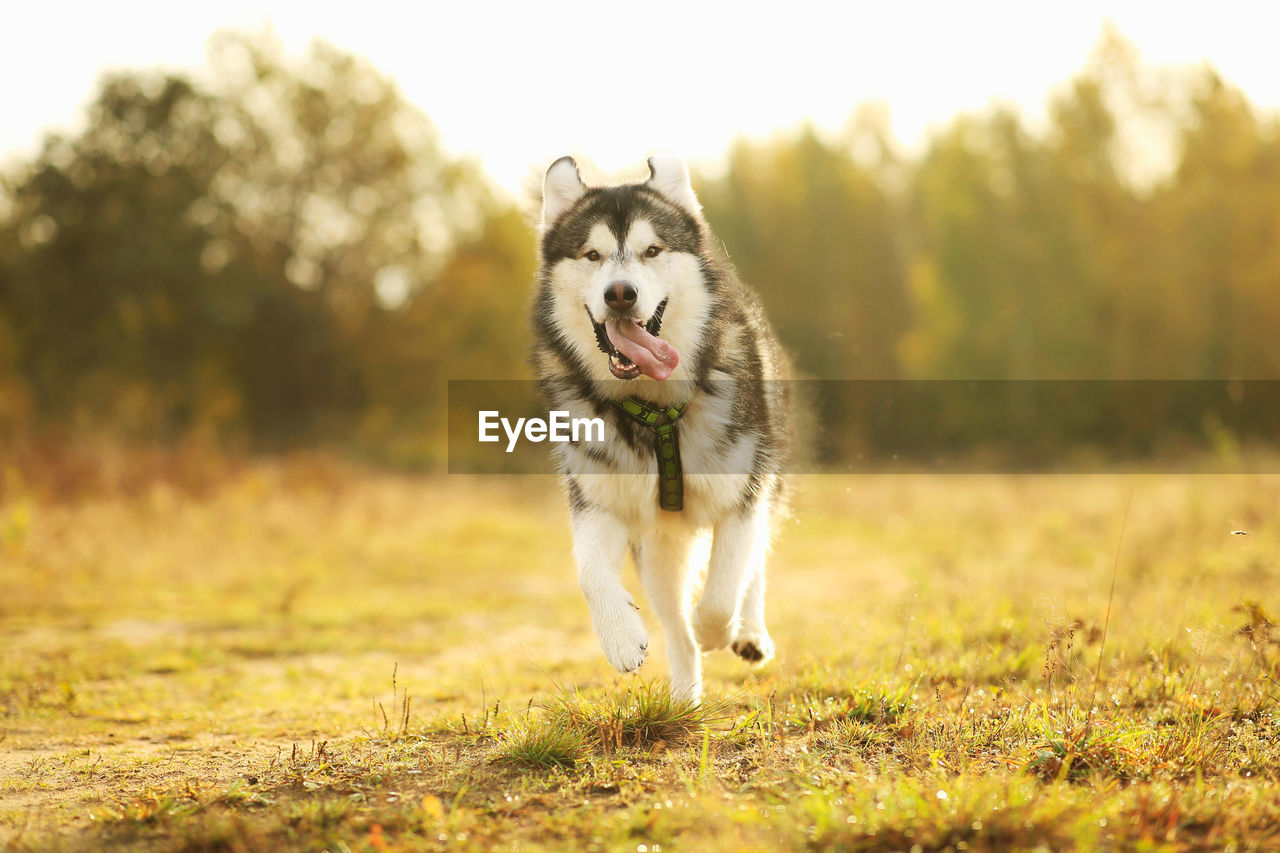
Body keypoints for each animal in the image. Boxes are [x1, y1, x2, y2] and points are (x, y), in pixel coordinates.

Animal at [529, 156, 788, 701]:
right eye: (592, 254)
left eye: (652, 250)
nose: (620, 293)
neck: (655, 411)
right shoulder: (598, 496)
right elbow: (589, 573)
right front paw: (621, 637)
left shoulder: (744, 492)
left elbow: (726, 584)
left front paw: (719, 630)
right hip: (658, 547)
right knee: (675, 626)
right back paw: (685, 699)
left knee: (753, 568)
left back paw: (748, 632)